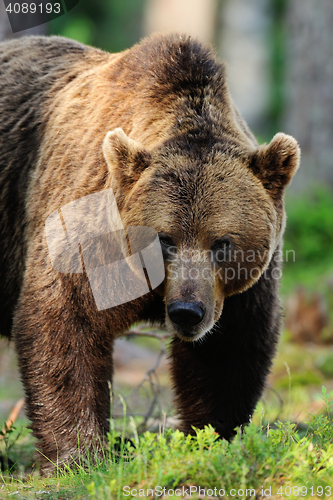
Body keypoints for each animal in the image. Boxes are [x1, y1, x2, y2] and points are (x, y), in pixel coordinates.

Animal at [0, 32, 300, 472]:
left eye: (222, 242)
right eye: (164, 238)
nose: (187, 312)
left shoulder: (239, 290)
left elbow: (227, 351)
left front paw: (212, 437)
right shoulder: (84, 225)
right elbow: (64, 321)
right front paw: (79, 454)